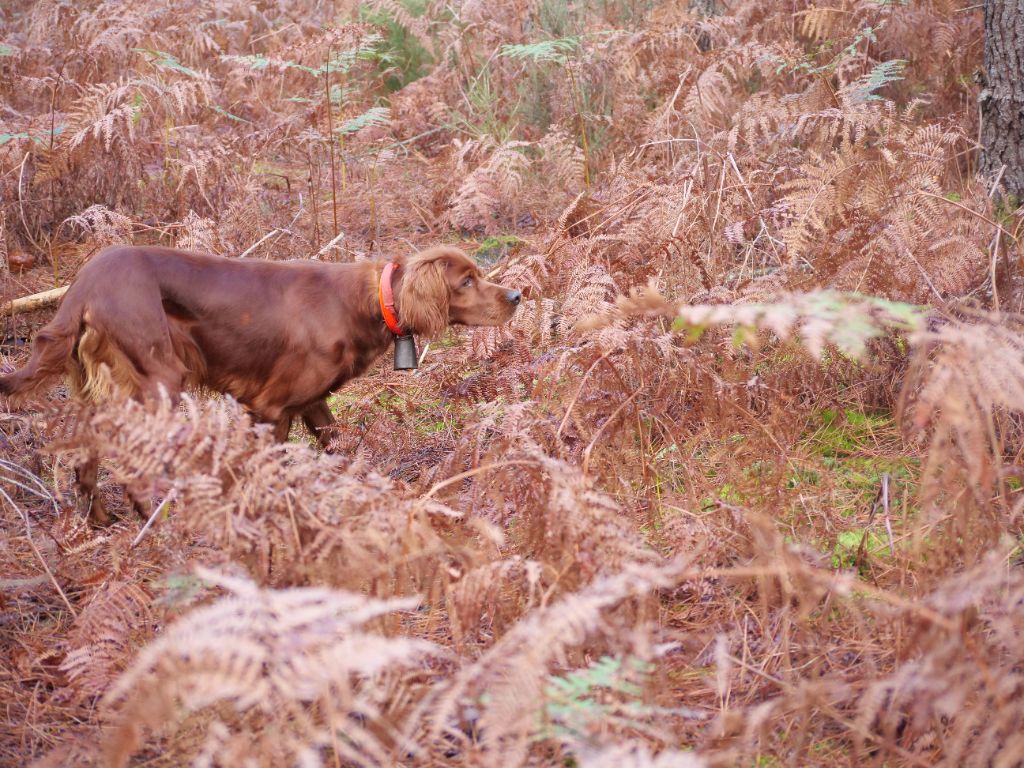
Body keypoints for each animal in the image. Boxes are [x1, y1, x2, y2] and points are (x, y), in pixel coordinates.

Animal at [2, 244, 520, 524]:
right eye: (466, 281)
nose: (517, 295)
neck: (368, 301)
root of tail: (82, 287)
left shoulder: (310, 404)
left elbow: (338, 448)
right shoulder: (270, 409)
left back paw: (100, 521)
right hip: (160, 381)